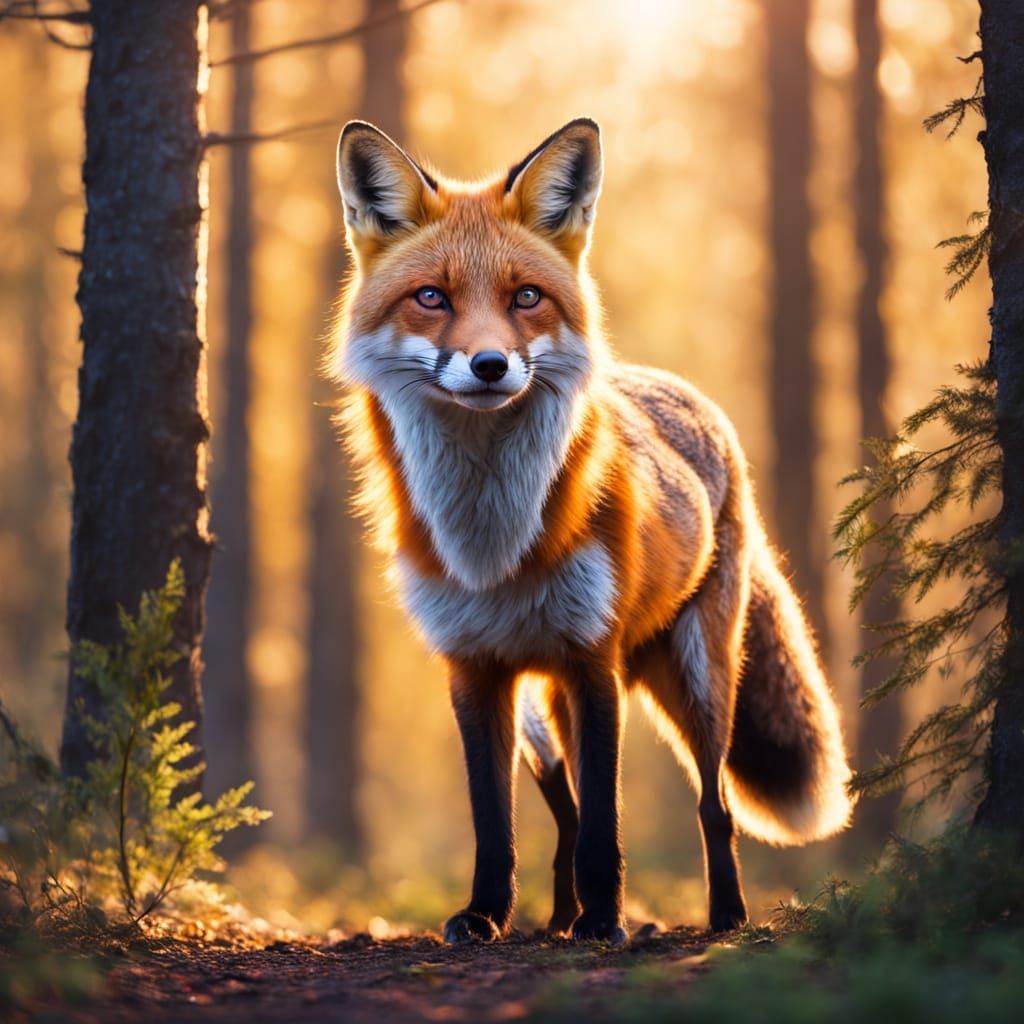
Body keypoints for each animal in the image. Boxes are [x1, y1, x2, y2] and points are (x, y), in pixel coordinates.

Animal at [328, 117, 853, 944]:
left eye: (527, 298)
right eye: (431, 298)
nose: (489, 364)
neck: (491, 541)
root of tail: (686, 395)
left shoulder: (591, 659)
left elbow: (608, 820)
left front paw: (607, 921)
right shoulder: (473, 670)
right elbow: (498, 823)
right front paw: (488, 914)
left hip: (698, 678)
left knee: (714, 806)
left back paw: (723, 916)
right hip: (540, 720)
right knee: (566, 816)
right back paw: (558, 918)